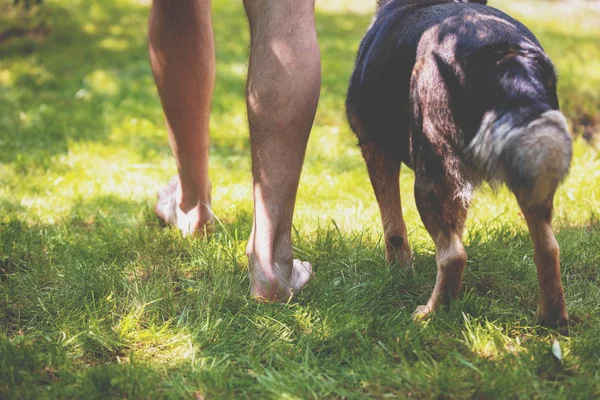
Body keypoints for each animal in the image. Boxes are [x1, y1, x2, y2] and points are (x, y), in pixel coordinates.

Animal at [346, 0, 572, 324]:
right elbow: (458, 221)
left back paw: (431, 314)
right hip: (531, 165)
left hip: (430, 176)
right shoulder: (459, 186)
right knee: (548, 247)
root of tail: (504, 52)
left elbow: (394, 228)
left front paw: (397, 273)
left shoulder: (375, 149)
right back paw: (551, 318)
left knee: (454, 256)